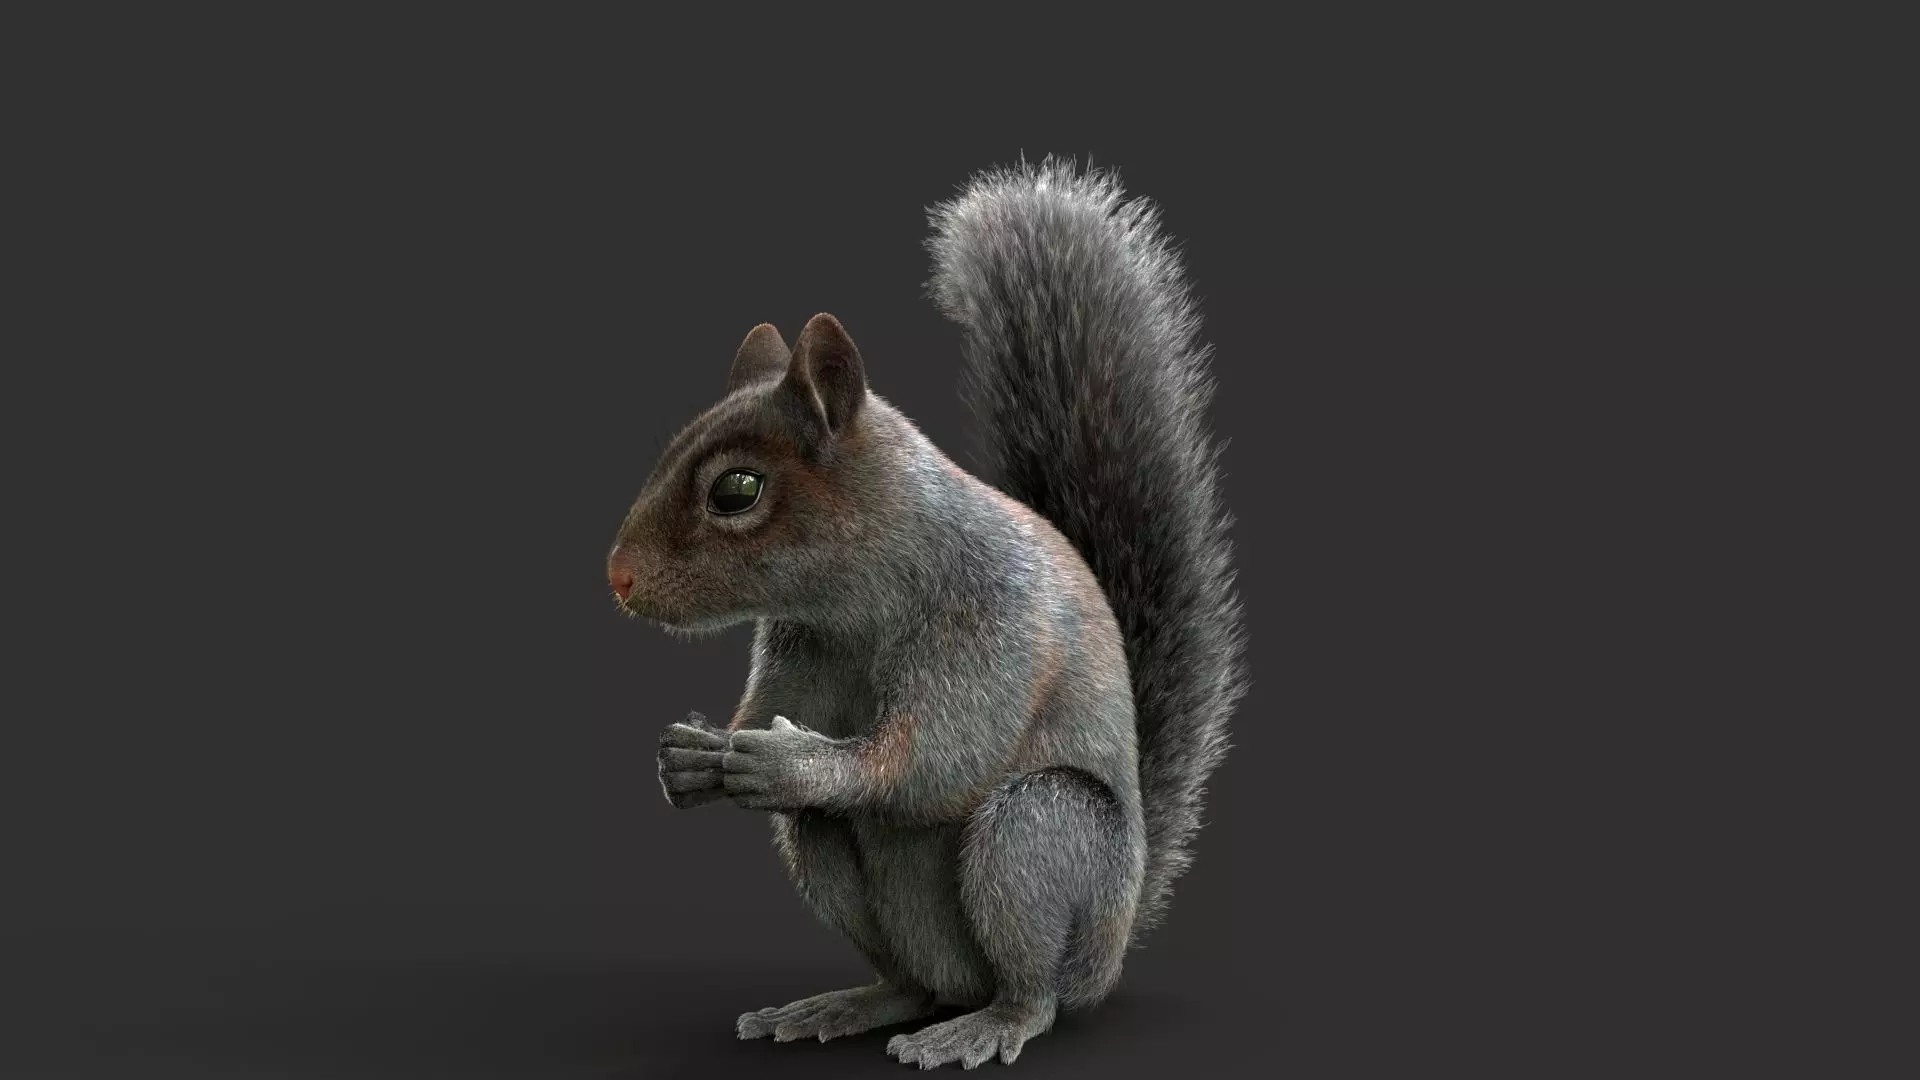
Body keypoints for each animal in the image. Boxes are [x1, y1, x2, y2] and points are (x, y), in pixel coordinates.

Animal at [607, 158, 1245, 1069]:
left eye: (736, 489)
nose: (616, 578)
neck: (854, 602)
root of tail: (1112, 946)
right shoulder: (797, 644)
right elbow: (770, 712)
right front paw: (690, 756)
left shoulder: (991, 614)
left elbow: (937, 757)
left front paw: (794, 763)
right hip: (850, 883)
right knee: (900, 967)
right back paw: (849, 1004)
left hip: (1038, 839)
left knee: (1035, 984)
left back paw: (987, 1025)